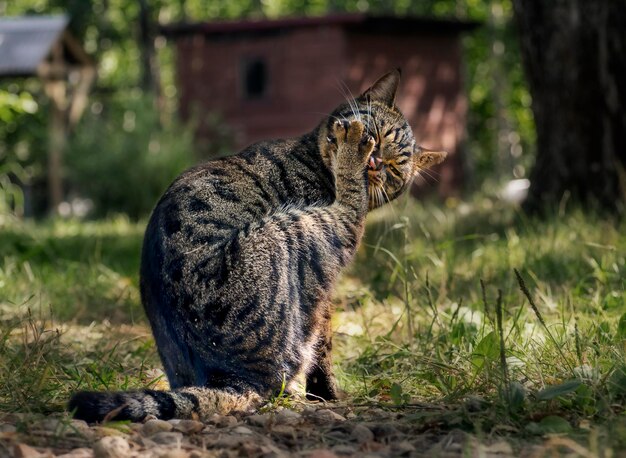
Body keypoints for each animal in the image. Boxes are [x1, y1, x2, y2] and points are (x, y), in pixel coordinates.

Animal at [68, 70, 444, 424]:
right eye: (376, 135)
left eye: (394, 169)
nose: (375, 162)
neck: (312, 156)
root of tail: (234, 376)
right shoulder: (322, 290)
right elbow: (324, 348)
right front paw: (327, 396)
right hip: (305, 228)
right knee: (349, 213)